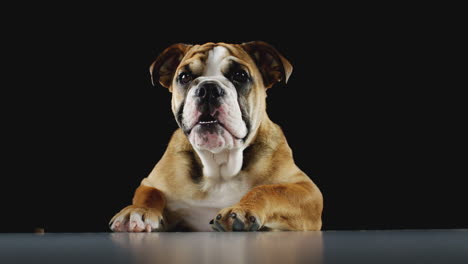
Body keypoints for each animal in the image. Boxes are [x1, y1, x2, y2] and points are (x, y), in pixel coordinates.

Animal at [109, 40, 322, 231]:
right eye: (184, 76)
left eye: (240, 75)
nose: (208, 88)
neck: (219, 164)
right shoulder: (152, 182)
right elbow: (150, 193)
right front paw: (137, 211)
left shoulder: (307, 190)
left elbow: (269, 190)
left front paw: (242, 210)